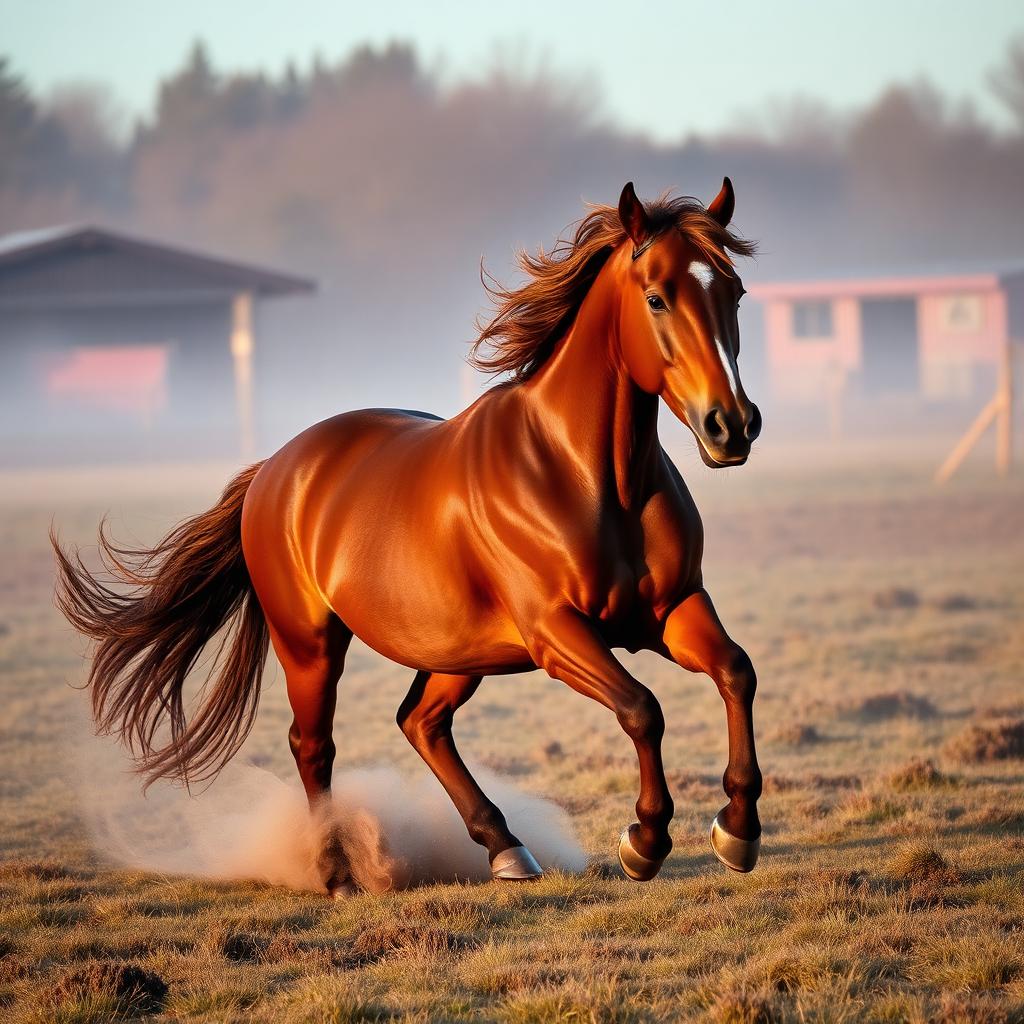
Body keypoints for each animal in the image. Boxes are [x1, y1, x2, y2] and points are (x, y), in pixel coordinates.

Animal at [53, 179, 764, 894]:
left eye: (733, 291)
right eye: (656, 297)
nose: (731, 425)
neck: (585, 475)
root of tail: (274, 471)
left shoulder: (671, 609)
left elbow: (736, 671)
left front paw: (738, 831)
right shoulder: (556, 632)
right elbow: (643, 708)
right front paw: (644, 840)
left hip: (458, 652)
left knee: (421, 722)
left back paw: (506, 849)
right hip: (310, 646)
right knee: (315, 746)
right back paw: (338, 874)